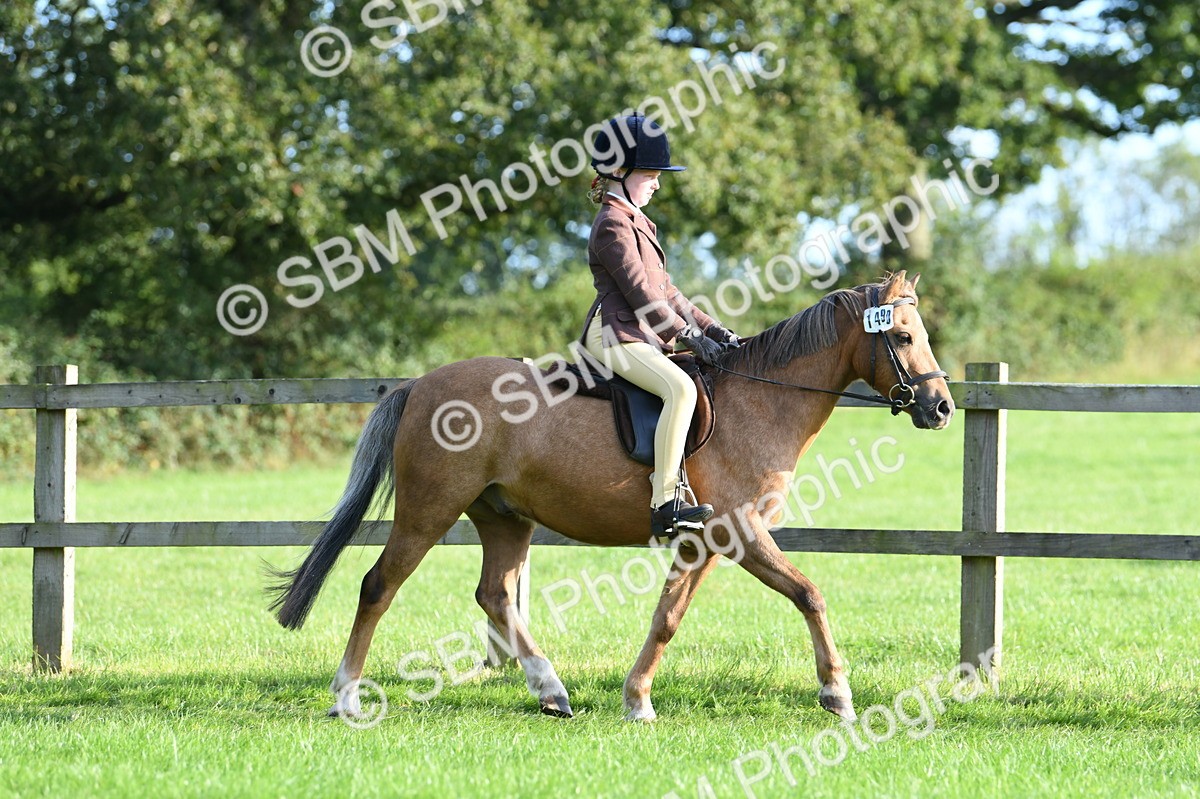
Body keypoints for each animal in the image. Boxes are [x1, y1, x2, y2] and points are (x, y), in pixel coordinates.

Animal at [267, 270, 954, 723]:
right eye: (905, 337)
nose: (941, 407)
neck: (762, 400)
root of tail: (419, 385)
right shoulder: (741, 534)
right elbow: (809, 594)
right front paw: (837, 694)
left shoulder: (704, 543)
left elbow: (667, 617)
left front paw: (637, 699)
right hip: (427, 512)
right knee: (378, 587)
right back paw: (347, 697)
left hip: (503, 517)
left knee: (495, 595)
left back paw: (551, 690)